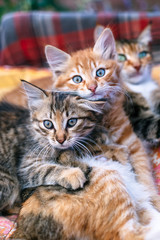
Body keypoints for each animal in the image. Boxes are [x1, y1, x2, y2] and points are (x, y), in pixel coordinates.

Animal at [44, 28, 160, 212]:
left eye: (100, 72)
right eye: (77, 79)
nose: (92, 87)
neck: (101, 115)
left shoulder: (134, 144)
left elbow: (144, 174)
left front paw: (154, 200)